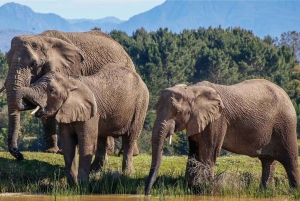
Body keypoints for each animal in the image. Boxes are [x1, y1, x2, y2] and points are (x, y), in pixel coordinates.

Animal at [2, 29, 137, 160]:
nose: (20, 155)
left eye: (33, 64)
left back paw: (123, 153)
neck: (42, 39)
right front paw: (50, 151)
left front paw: (60, 151)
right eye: (7, 61)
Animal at [144, 79, 298, 195]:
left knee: (290, 159)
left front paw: (204, 190)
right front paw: (191, 189)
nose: (148, 193)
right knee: (267, 161)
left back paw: (294, 191)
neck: (192, 89)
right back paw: (266, 193)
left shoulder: (217, 120)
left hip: (285, 124)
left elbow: (208, 152)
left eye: (177, 112)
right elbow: (194, 152)